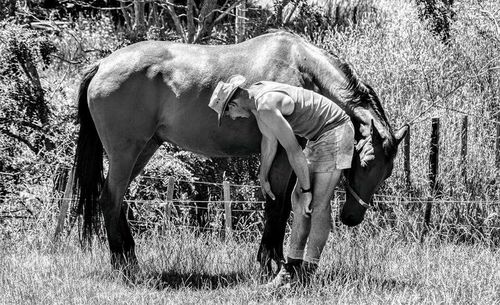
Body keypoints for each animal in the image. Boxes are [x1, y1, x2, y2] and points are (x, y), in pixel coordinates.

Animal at [72, 30, 406, 272]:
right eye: (366, 162)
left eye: (387, 171)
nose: (352, 217)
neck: (300, 66)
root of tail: (102, 65)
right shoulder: (283, 154)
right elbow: (277, 206)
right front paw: (270, 262)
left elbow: (284, 206)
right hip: (126, 152)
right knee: (110, 198)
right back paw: (124, 265)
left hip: (143, 150)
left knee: (116, 200)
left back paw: (128, 257)